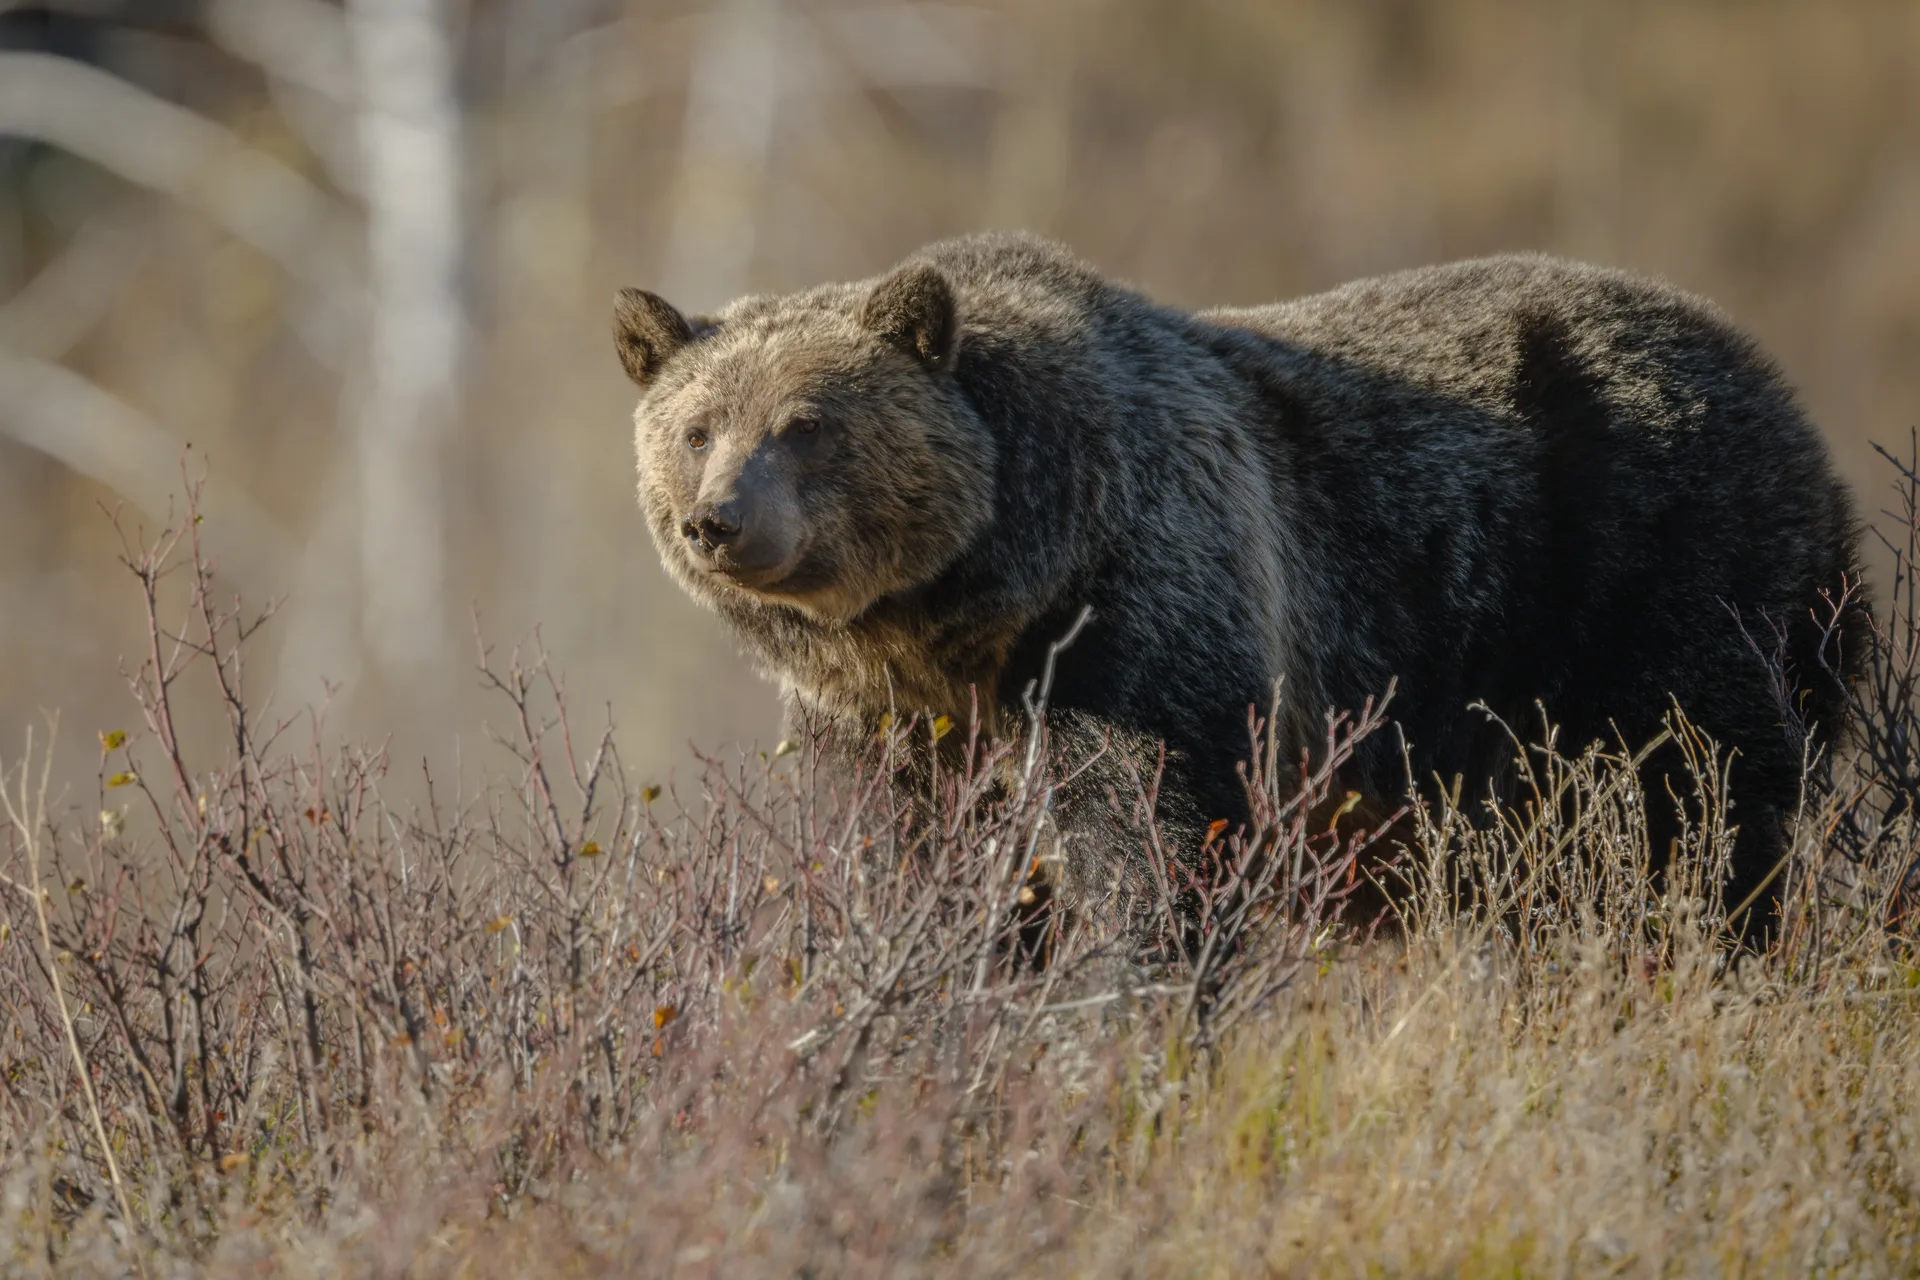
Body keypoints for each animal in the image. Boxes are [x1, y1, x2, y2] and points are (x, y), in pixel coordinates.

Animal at [614, 231, 1863, 936]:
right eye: (696, 425)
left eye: (805, 423)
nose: (719, 519)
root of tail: (1781, 385)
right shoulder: (893, 722)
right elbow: (909, 854)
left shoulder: (1145, 623)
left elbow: (1149, 834)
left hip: (1667, 577)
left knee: (1700, 807)